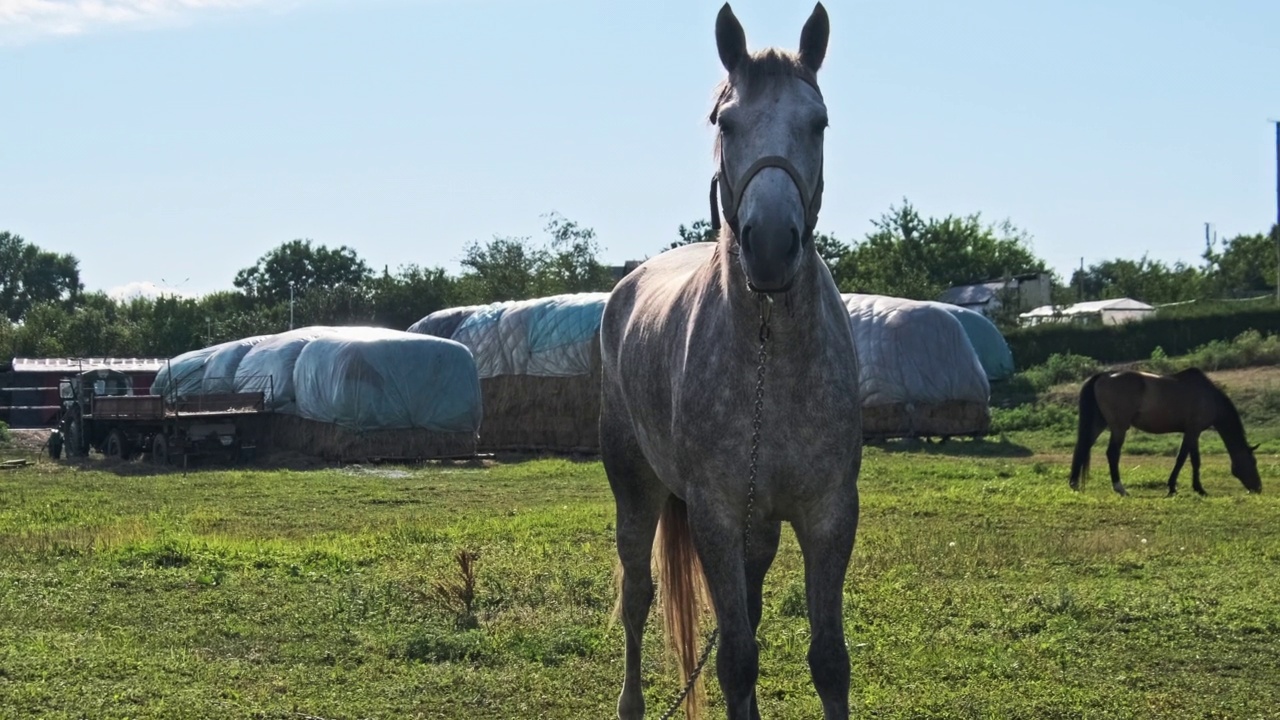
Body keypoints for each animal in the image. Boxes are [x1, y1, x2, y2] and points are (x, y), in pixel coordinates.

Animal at [601, 2, 865, 712]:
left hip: (758, 528)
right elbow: (737, 661)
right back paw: (631, 704)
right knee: (638, 597)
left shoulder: (829, 513)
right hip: (635, 489)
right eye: (726, 121)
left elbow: (828, 661)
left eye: (819, 122)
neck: (771, 357)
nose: (770, 244)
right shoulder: (715, 516)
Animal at [1070, 366, 1259, 497]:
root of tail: (1104, 375)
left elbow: (1194, 460)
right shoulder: (1192, 431)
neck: (1209, 397)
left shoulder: (1193, 432)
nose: (1258, 488)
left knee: (1082, 447)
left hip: (1099, 424)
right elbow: (1183, 459)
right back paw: (1120, 488)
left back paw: (1074, 484)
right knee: (1112, 453)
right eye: (1253, 462)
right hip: (1118, 427)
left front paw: (1197, 488)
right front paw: (1174, 487)